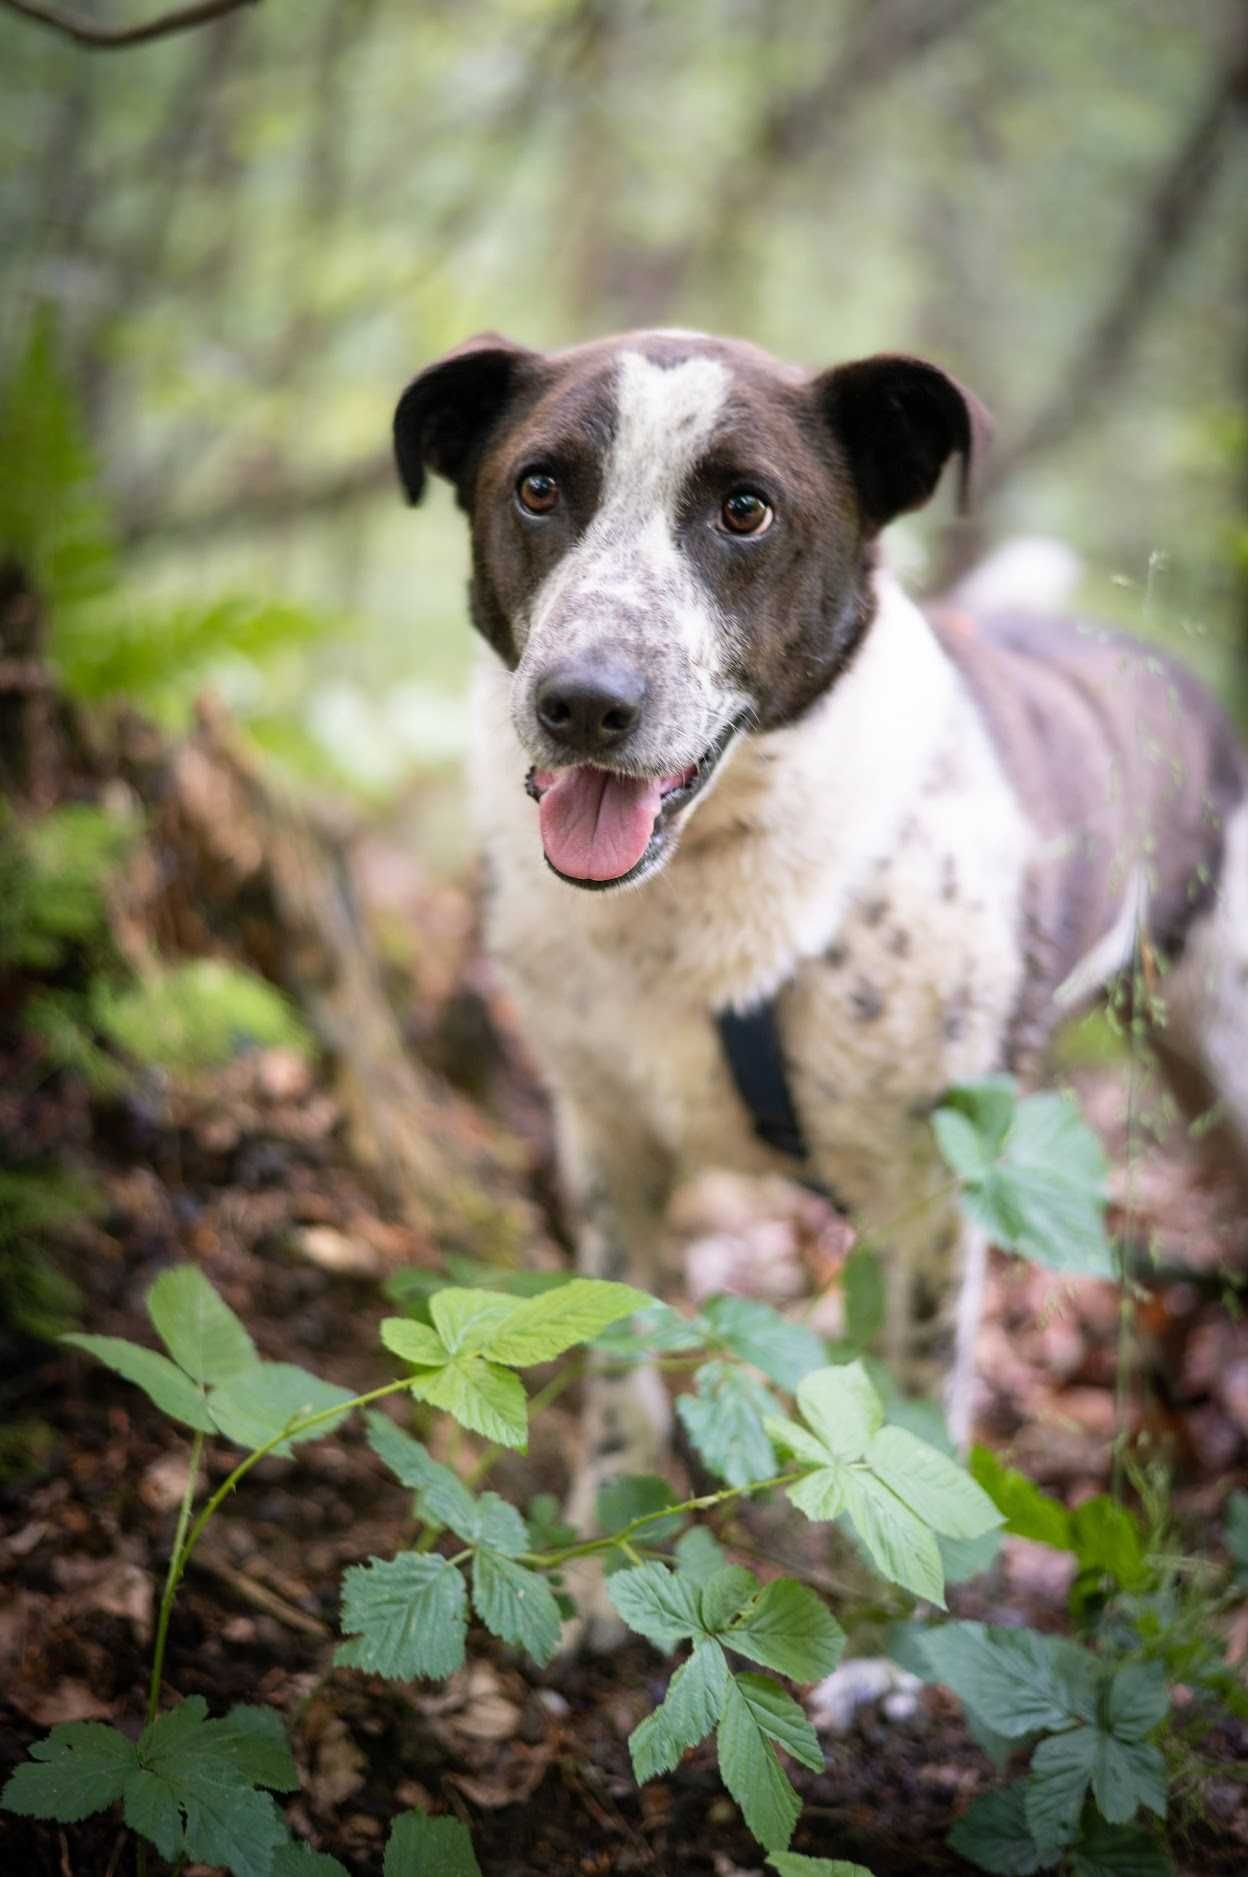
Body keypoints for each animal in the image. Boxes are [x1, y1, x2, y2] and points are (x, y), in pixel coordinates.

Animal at [394, 326, 1246, 1599]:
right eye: (538, 487)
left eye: (746, 509)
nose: (583, 702)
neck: (704, 893)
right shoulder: (607, 1139)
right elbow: (619, 1356)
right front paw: (598, 1558)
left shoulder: (942, 1188)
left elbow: (917, 1406)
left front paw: (893, 1622)